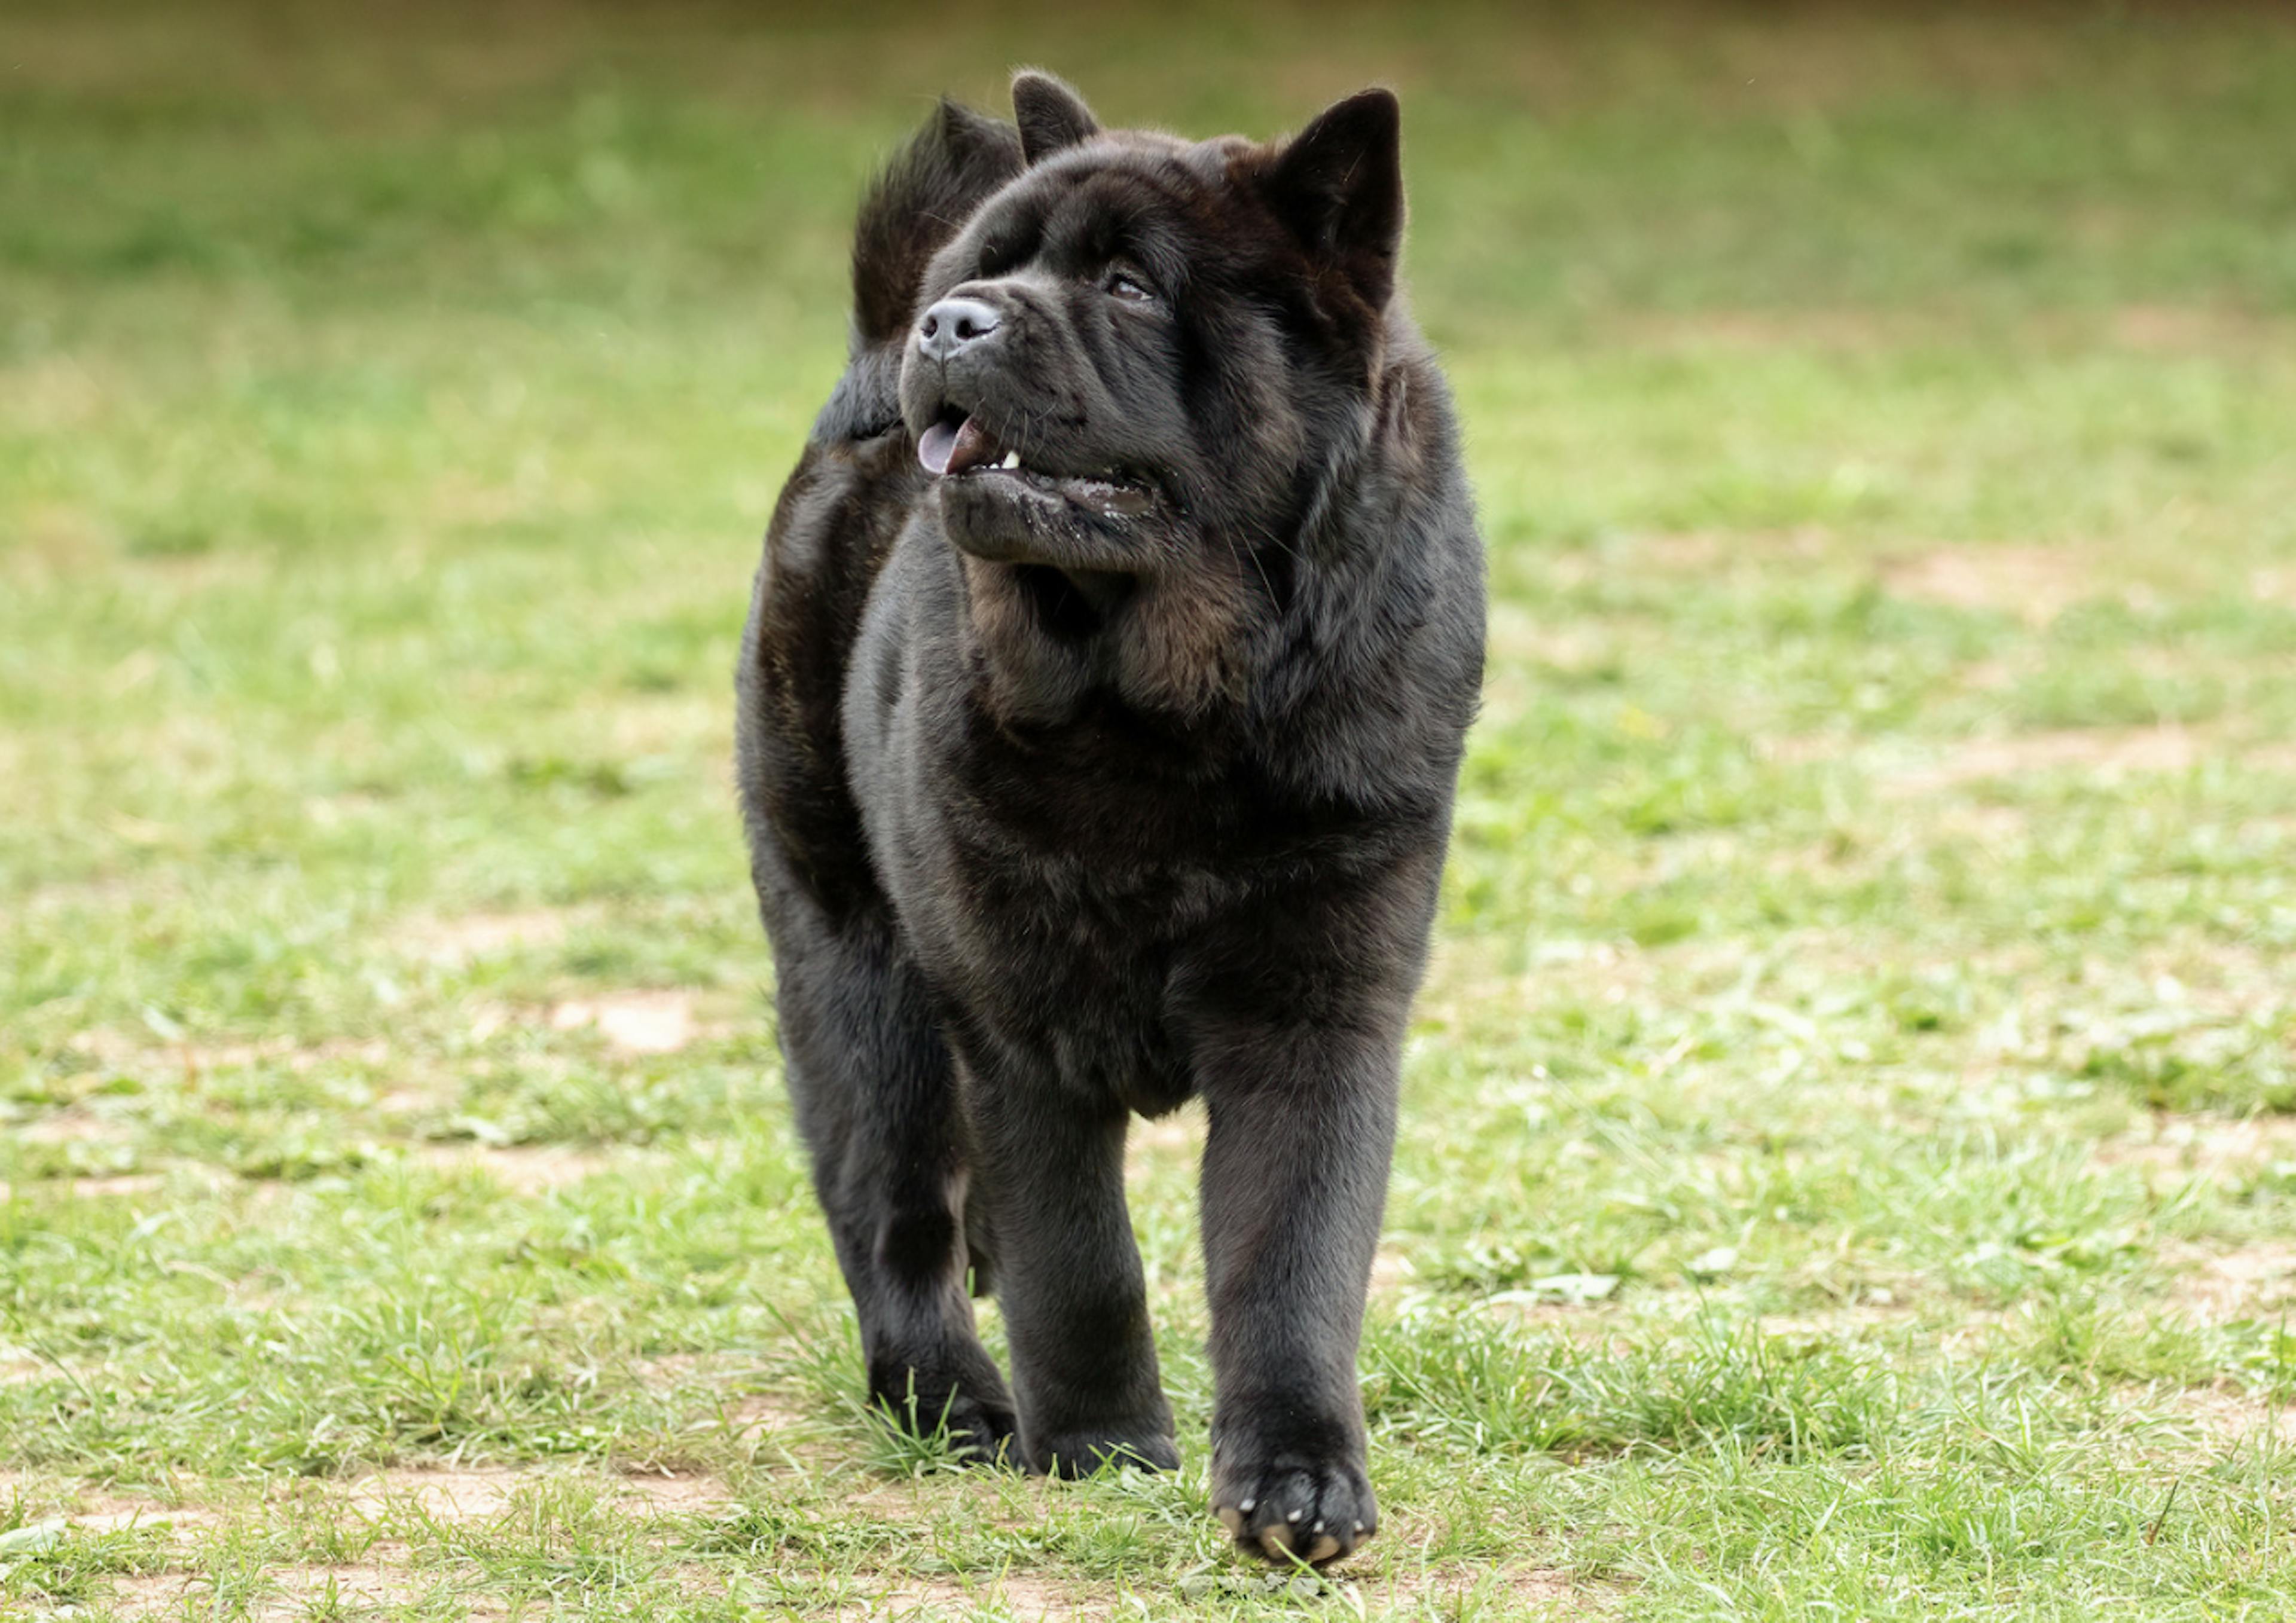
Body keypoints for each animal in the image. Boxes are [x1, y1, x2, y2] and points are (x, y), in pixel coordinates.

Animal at [739, 72, 1488, 1561]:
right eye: (990, 269)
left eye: (1132, 286)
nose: (951, 322)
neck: (1169, 721)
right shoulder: (1017, 1021)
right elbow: (1078, 1255)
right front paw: (1099, 1447)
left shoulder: (1319, 1006)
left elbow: (1292, 1259)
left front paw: (1299, 1484)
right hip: (857, 963)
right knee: (891, 1206)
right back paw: (955, 1400)